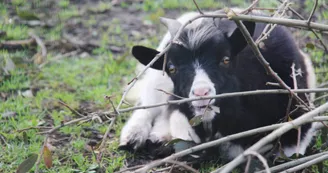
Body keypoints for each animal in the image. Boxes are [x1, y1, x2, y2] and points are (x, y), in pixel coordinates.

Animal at [119, 9, 316, 161]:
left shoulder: (298, 122)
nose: (201, 92)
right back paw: (134, 137)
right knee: (148, 104)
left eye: (226, 59)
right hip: (156, 81)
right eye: (171, 68)